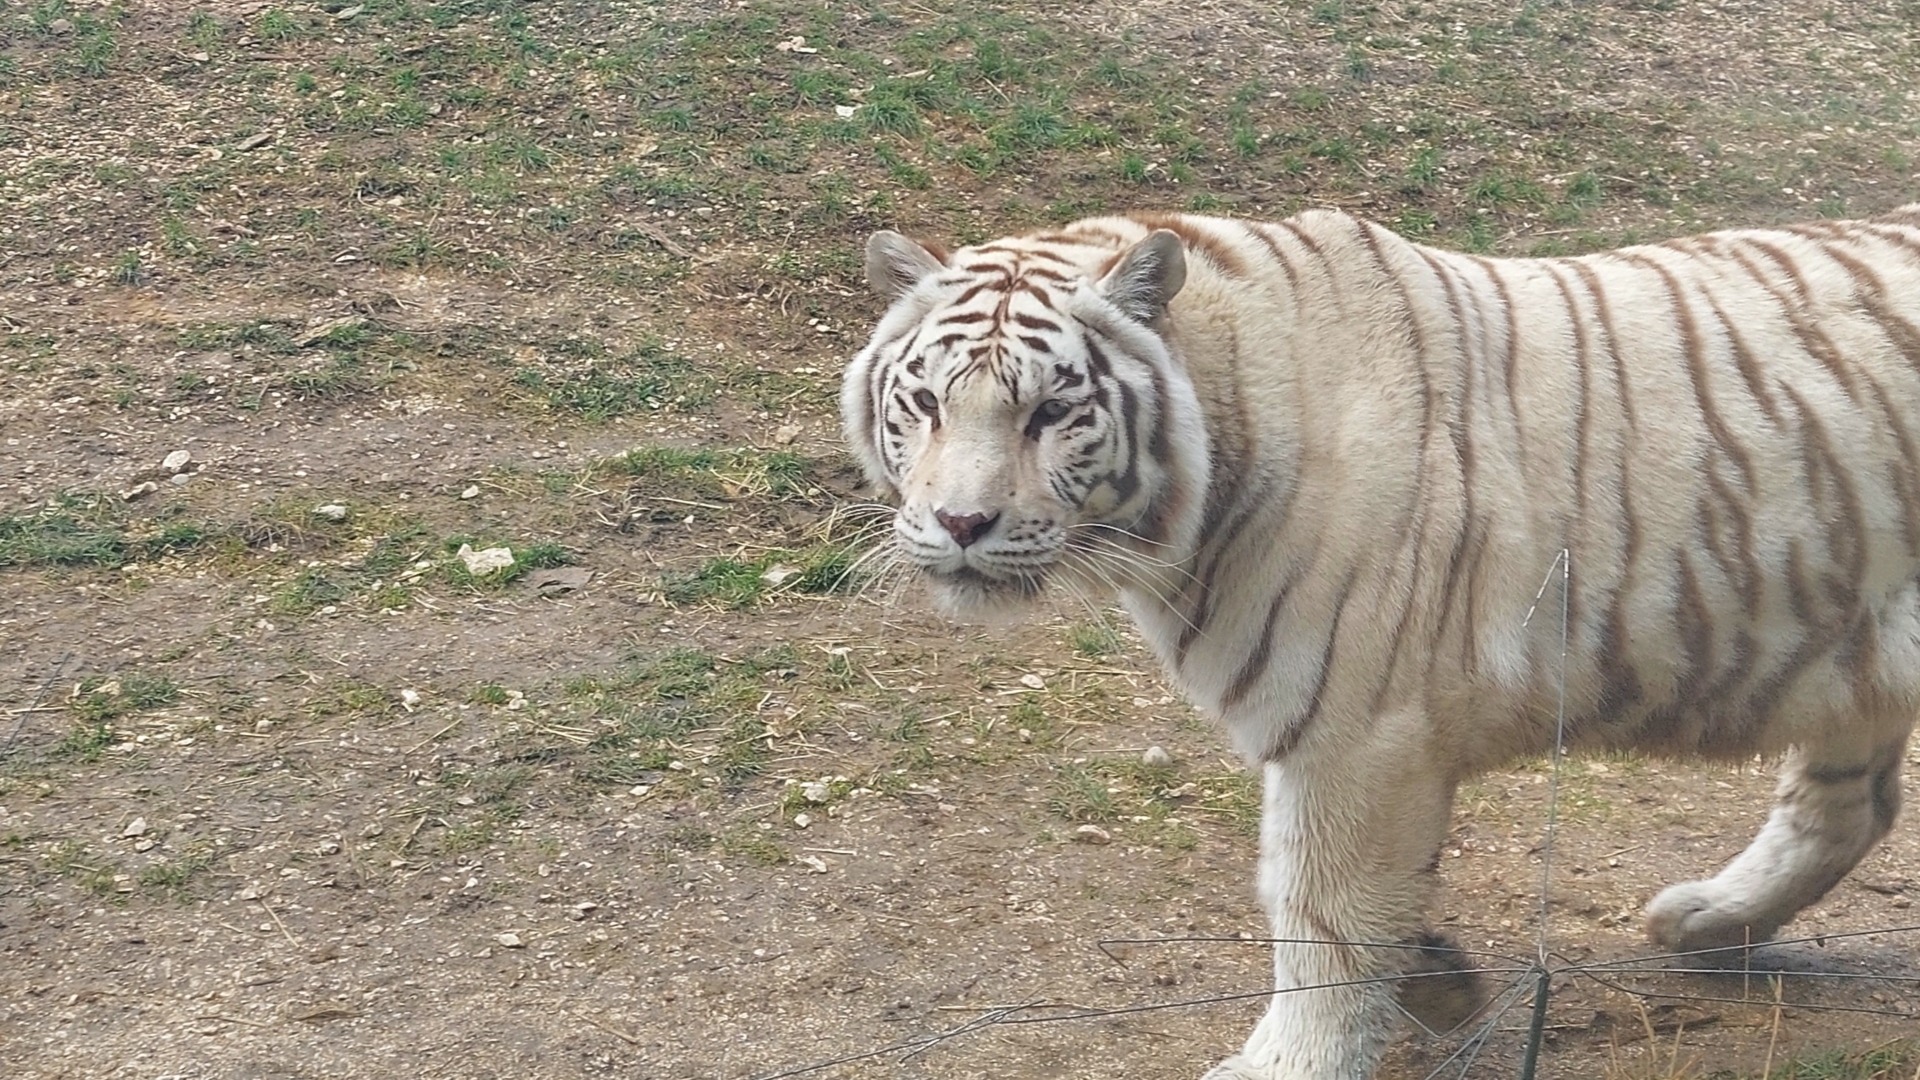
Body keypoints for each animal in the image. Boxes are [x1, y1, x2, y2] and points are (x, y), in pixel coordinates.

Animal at [839, 204, 1920, 1078]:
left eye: (1053, 412)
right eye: (926, 403)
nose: (962, 523)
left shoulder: (1358, 731)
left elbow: (1324, 918)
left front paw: (1290, 1064)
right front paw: (1440, 978)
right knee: (1851, 804)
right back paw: (1710, 922)